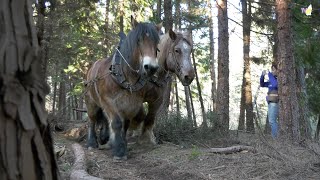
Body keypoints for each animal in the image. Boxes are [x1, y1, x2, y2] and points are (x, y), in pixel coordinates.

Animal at [84, 16, 161, 160]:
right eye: (138, 40)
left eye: (157, 44)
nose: (151, 68)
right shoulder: (108, 101)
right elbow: (117, 123)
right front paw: (119, 151)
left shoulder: (132, 103)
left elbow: (127, 124)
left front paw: (123, 144)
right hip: (91, 101)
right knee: (92, 120)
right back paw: (92, 143)